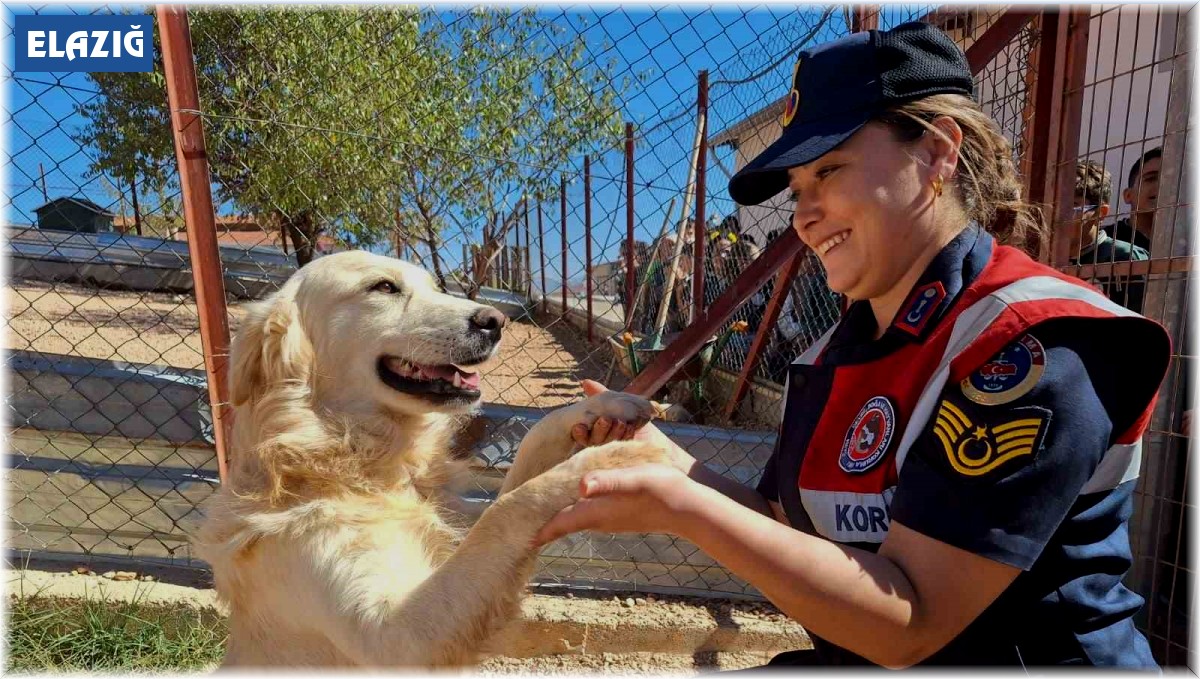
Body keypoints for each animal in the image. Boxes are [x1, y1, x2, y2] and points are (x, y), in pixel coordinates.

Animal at [192, 251, 672, 671]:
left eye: (435, 287)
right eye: (384, 287)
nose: (495, 321)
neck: (358, 460)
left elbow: (525, 461)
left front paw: (602, 409)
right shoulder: (397, 636)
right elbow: (505, 509)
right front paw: (611, 457)